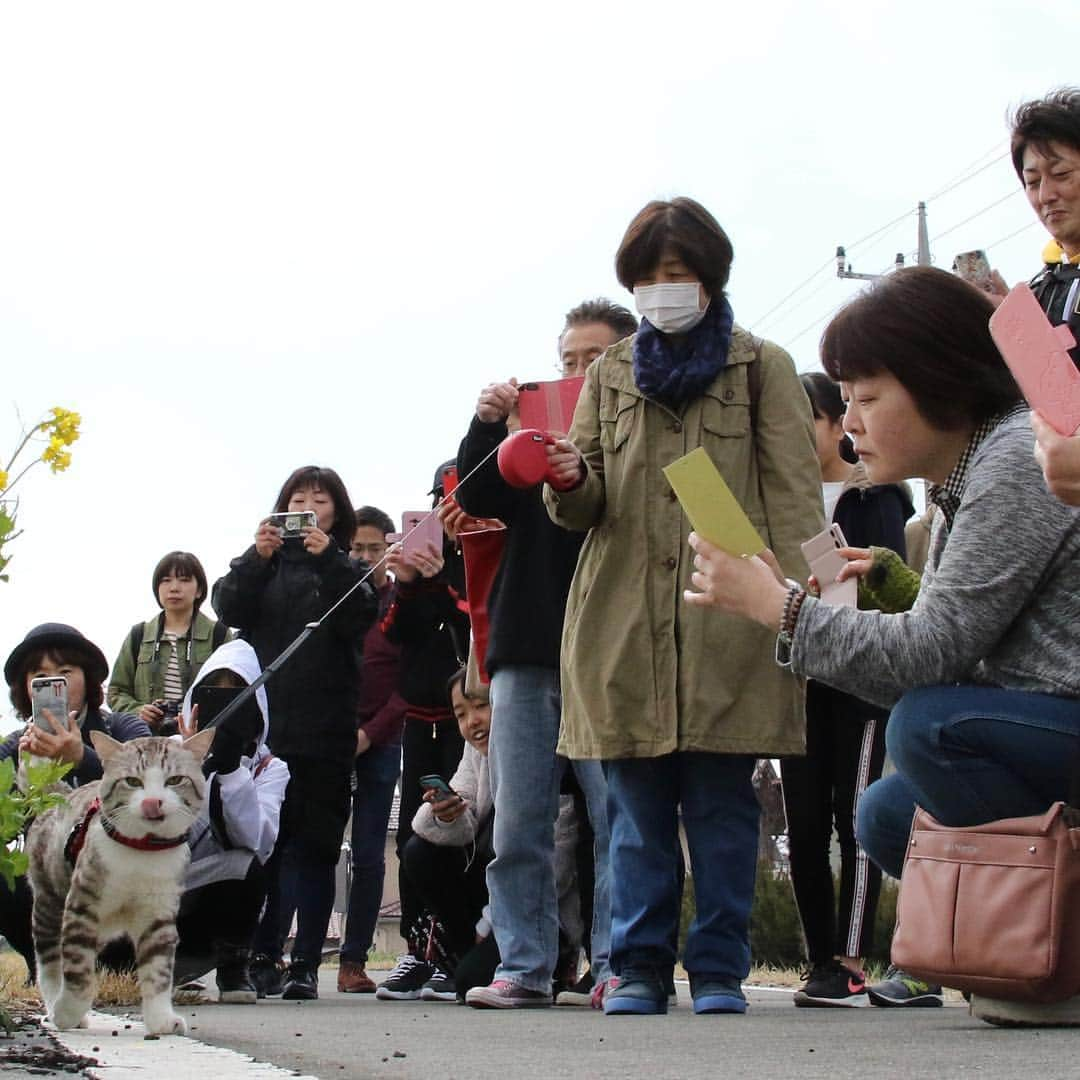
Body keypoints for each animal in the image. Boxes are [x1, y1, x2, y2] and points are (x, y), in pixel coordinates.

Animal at [26, 730, 212, 1032]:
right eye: (132, 781)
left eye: (175, 780)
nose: (152, 802)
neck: (141, 852)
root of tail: (62, 796)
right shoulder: (82, 905)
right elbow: (78, 971)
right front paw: (67, 1012)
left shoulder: (159, 912)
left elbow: (158, 970)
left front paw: (161, 1019)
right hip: (49, 901)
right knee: (51, 961)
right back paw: (55, 1007)